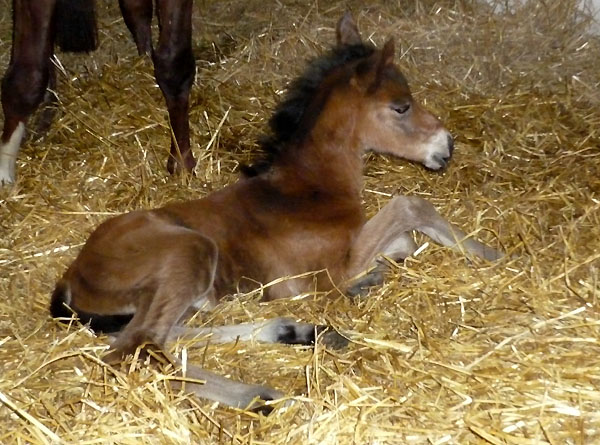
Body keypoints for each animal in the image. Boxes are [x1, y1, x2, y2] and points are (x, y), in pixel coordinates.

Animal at [50, 13, 502, 410]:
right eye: (401, 107)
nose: (447, 147)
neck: (308, 190)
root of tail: (71, 277)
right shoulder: (328, 270)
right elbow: (410, 206)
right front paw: (489, 253)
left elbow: (403, 241)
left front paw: (374, 276)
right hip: (191, 251)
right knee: (137, 347)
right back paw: (257, 395)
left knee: (160, 335)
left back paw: (295, 330)